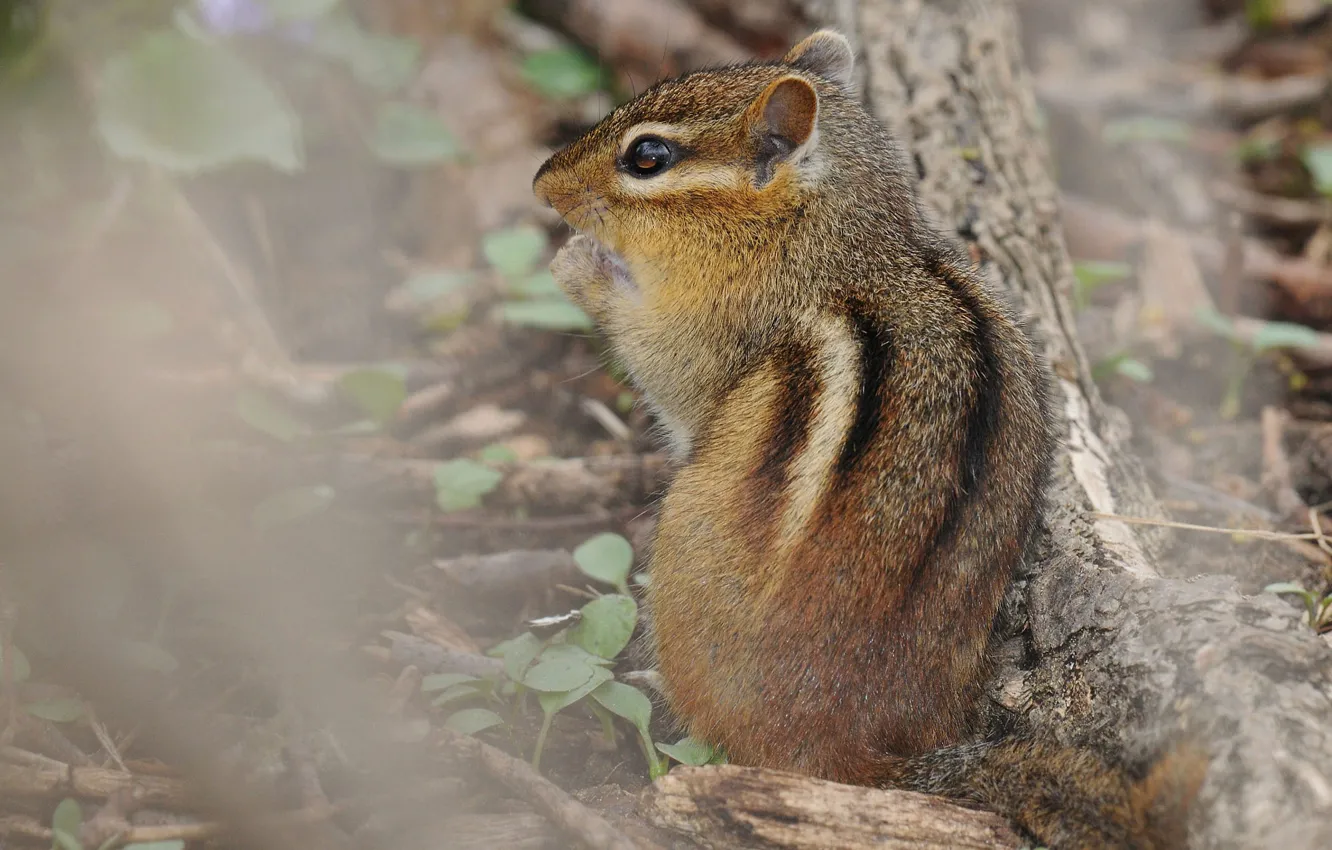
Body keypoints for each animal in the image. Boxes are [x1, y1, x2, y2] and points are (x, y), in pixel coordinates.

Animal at [533, 29, 1206, 849]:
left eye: (647, 157)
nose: (540, 182)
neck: (840, 238)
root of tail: (849, 747)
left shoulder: (712, 333)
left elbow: (660, 364)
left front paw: (576, 262)